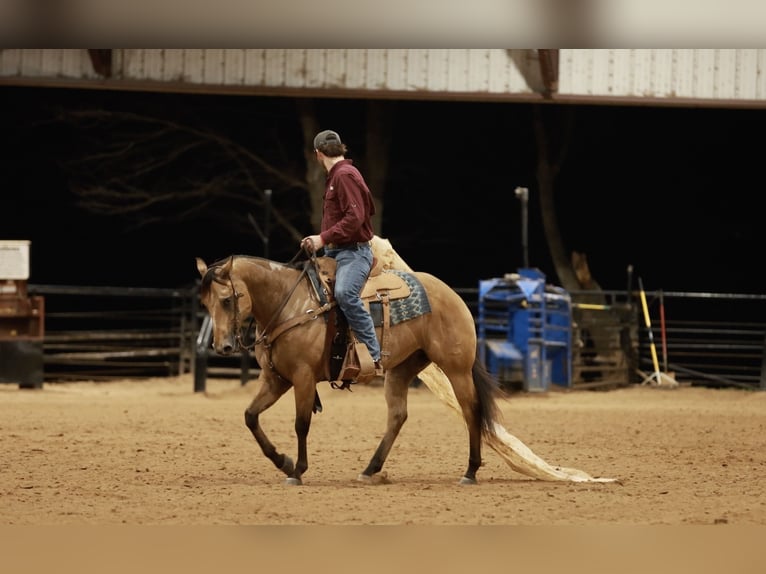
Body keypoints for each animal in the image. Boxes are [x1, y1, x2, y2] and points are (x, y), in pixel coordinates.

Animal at [195, 246, 506, 486]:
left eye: (226, 300)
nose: (222, 347)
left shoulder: (303, 377)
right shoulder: (276, 379)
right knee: (398, 416)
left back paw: (470, 471)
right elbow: (250, 416)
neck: (291, 304)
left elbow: (301, 423)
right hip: (401, 369)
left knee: (471, 409)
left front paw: (297, 471)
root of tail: (452, 294)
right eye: (206, 303)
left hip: (456, 368)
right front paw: (283, 461)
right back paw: (370, 469)